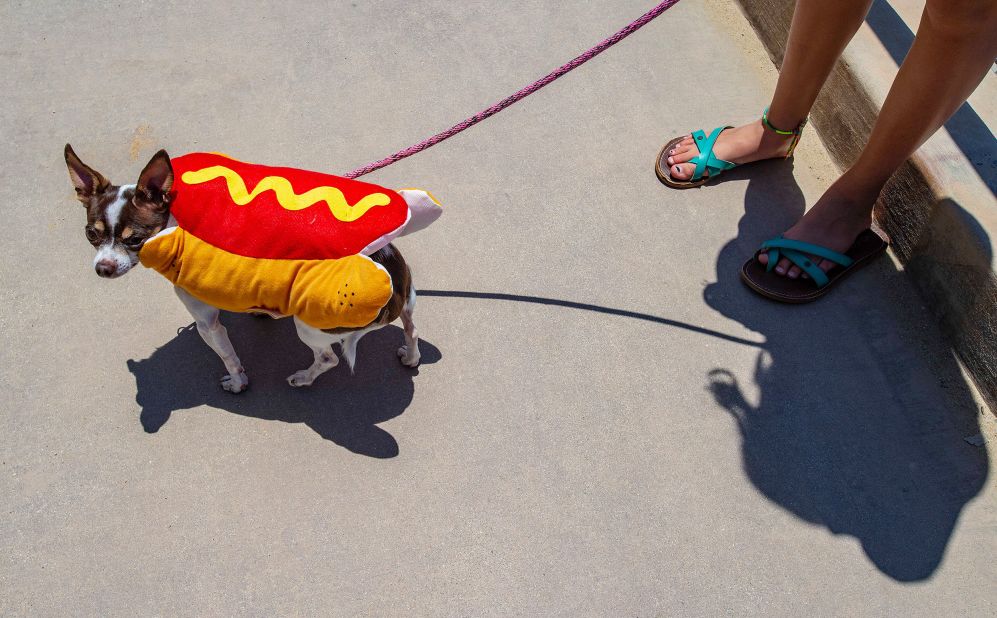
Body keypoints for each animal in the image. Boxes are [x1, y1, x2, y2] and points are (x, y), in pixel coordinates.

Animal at [64, 146, 430, 390]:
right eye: (91, 234)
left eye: (135, 239)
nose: (103, 268)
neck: (177, 219)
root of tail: (389, 276)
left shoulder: (207, 324)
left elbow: (228, 356)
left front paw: (238, 382)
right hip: (409, 298)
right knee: (412, 328)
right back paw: (411, 357)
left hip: (311, 325)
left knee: (329, 358)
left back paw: (304, 377)